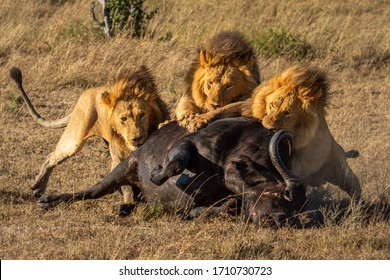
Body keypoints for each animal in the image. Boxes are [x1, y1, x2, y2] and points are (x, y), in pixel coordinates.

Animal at [39, 117, 308, 229]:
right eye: (282, 194)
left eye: (297, 208)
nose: (280, 220)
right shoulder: (189, 143)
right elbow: (178, 163)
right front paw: (158, 174)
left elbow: (227, 206)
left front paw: (195, 212)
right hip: (123, 167)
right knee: (92, 191)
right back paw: (47, 199)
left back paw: (126, 207)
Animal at [184, 64, 362, 199]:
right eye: (272, 105)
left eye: (287, 113)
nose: (268, 127)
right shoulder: (248, 107)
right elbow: (227, 108)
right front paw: (197, 121)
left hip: (341, 170)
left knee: (356, 189)